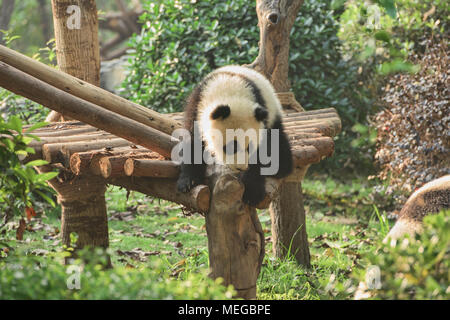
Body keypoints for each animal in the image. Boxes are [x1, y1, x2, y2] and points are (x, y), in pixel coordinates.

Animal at [178, 65, 294, 205]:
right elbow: (192, 142)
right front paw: (188, 182)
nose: (241, 168)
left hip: (273, 113)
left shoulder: (262, 120)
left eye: (249, 147)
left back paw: (282, 167)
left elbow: (262, 153)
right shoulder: (196, 107)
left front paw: (252, 193)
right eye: (232, 146)